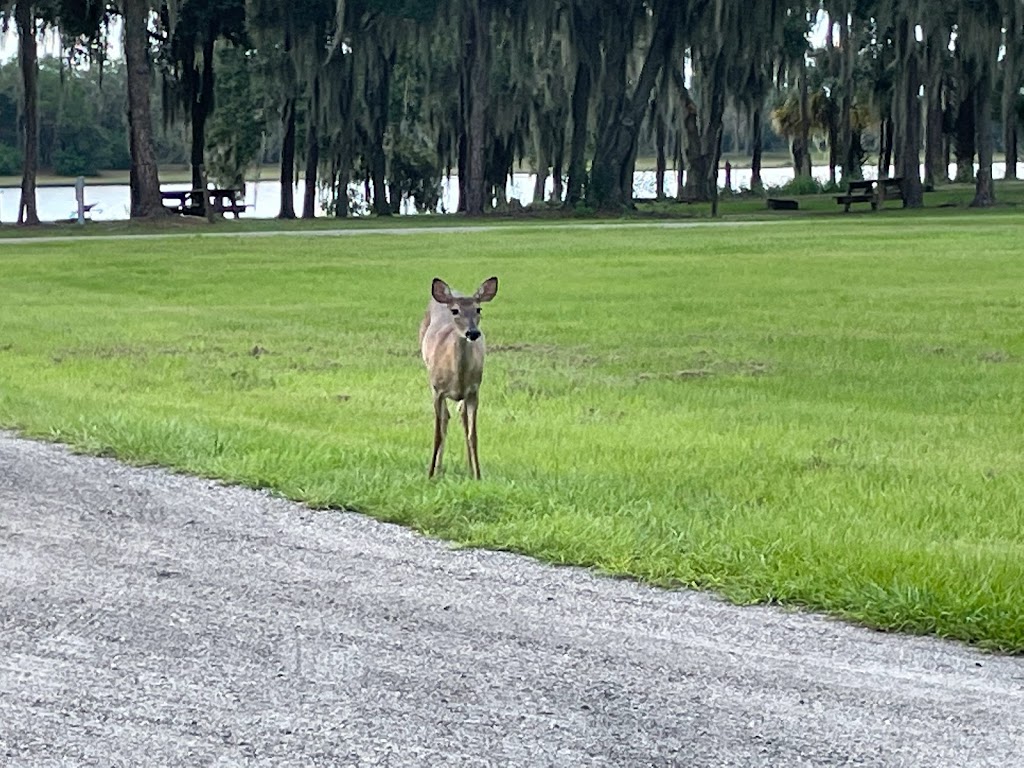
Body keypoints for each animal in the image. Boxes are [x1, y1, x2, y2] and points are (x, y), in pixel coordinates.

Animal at [419, 276, 499, 481]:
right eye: (455, 311)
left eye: (479, 309)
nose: (473, 333)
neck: (458, 377)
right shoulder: (437, 390)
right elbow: (437, 433)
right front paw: (429, 474)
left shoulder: (474, 391)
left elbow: (473, 435)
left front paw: (478, 475)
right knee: (445, 419)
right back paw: (438, 469)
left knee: (461, 418)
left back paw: (469, 469)